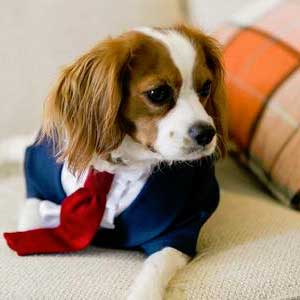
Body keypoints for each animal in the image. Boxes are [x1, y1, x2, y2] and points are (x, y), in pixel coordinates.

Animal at [8, 24, 227, 298]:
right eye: (158, 93)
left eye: (206, 88)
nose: (207, 134)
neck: (119, 167)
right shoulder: (38, 179)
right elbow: (30, 219)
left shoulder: (181, 224)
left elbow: (157, 264)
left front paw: (143, 292)